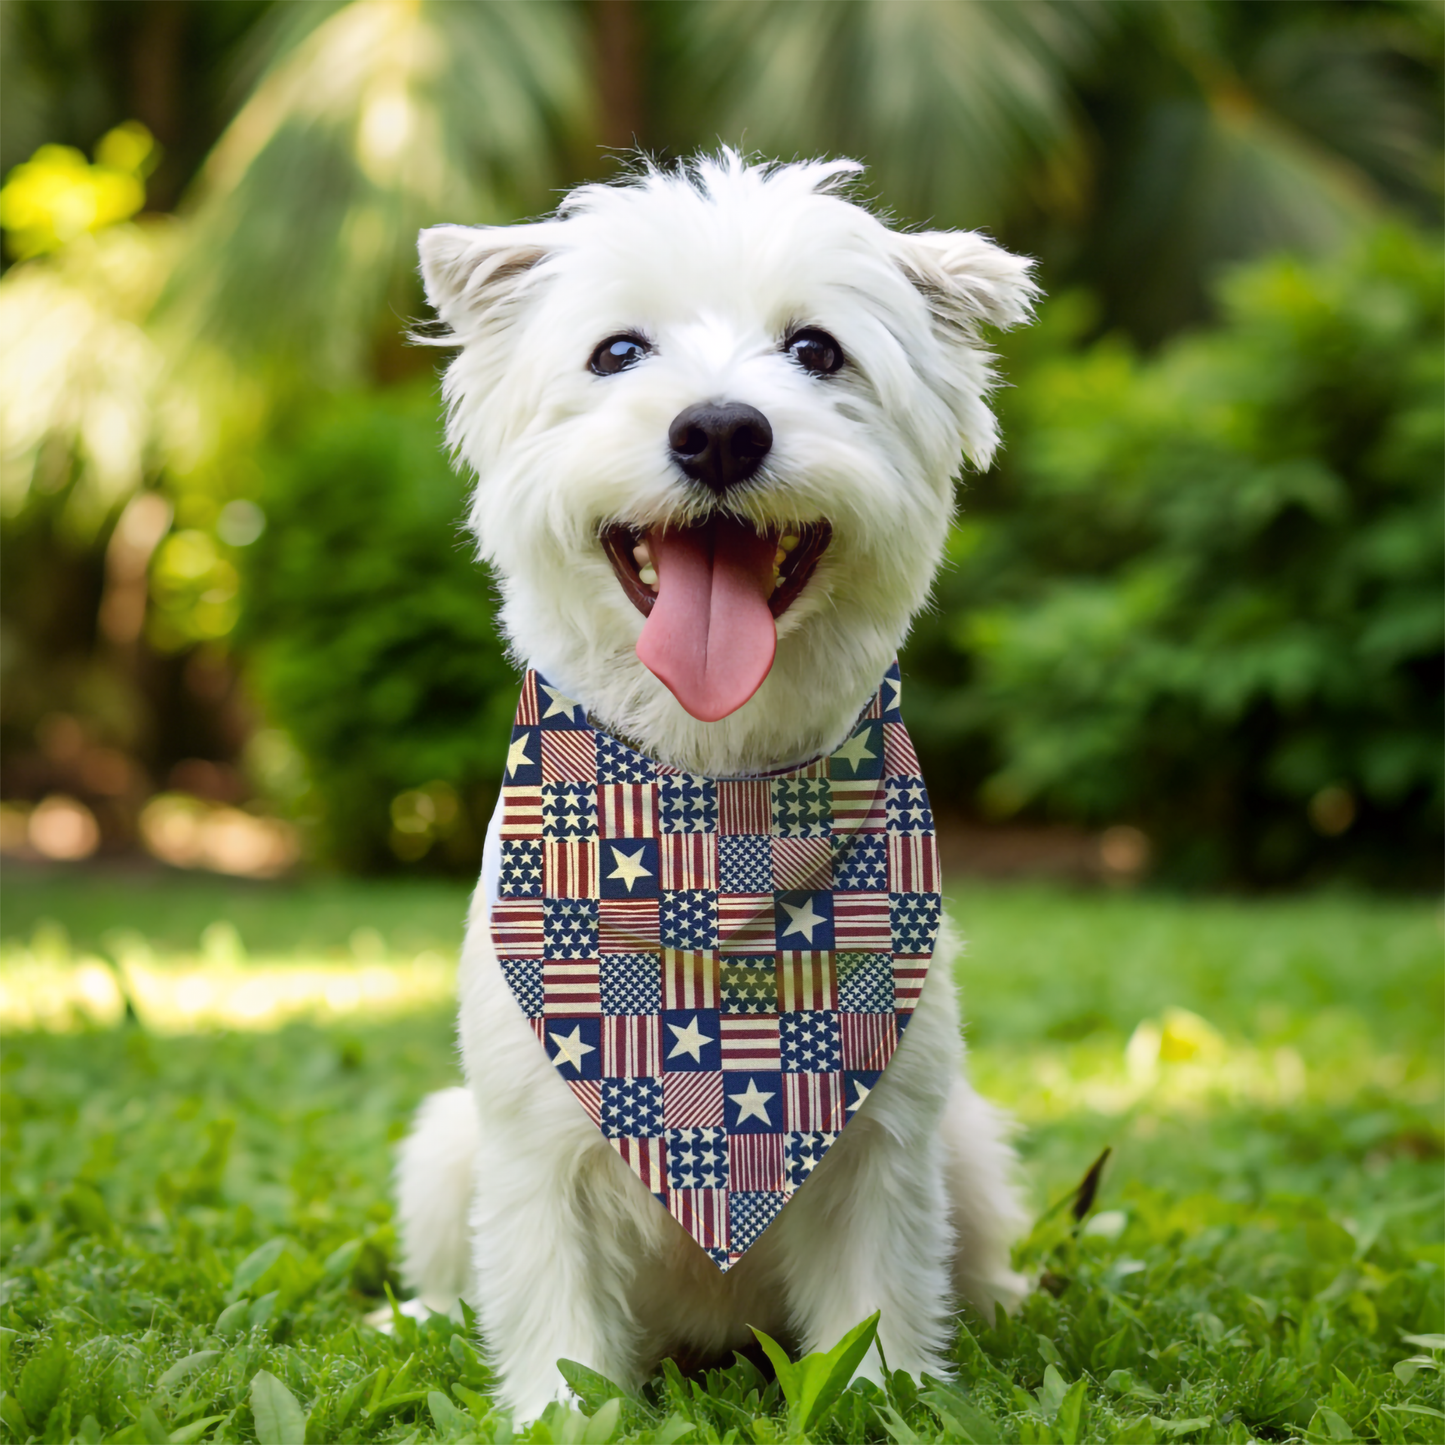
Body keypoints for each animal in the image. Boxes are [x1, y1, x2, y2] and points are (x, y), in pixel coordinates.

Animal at [401, 152, 1034, 1416]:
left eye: (817, 350)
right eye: (615, 351)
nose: (719, 430)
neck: (712, 814)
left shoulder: (883, 1136)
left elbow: (876, 1302)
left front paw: (887, 1396)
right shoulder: (534, 1143)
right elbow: (552, 1315)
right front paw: (558, 1416)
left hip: (969, 1144)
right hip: (444, 1147)